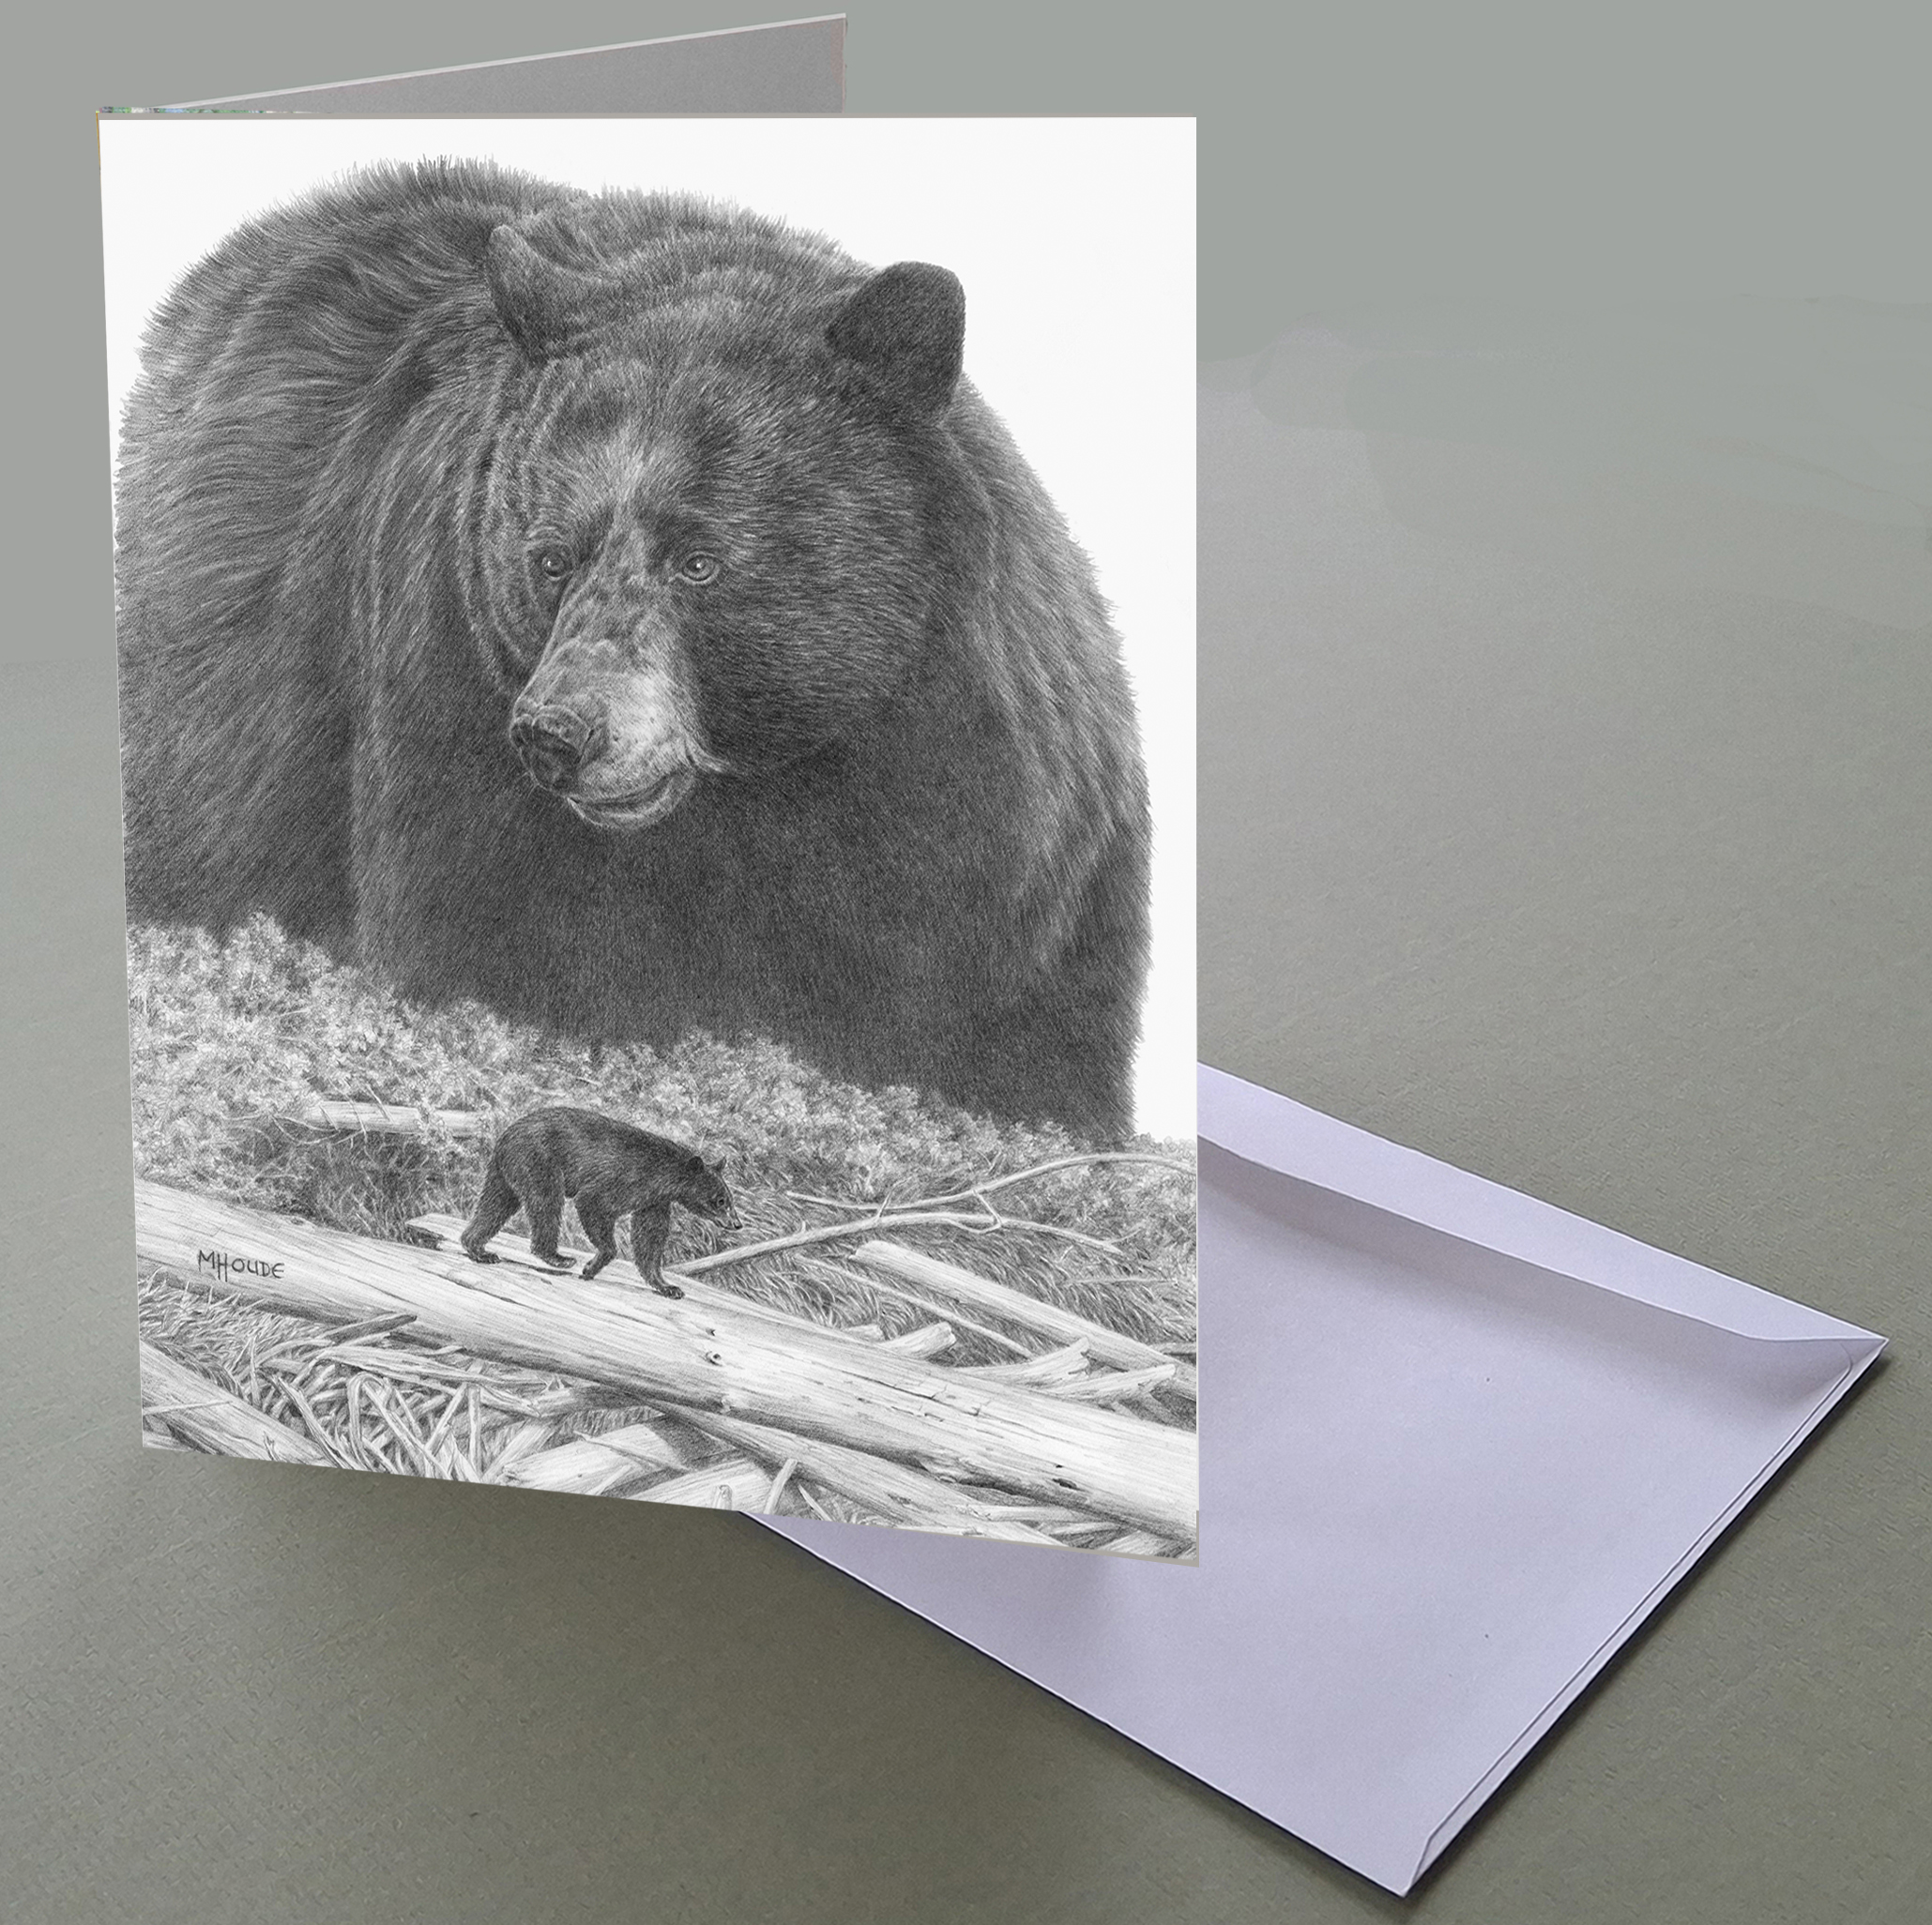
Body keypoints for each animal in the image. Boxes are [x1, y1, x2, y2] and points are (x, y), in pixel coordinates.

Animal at [112, 160, 1151, 1139]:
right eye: (551, 557)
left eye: (699, 560)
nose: (557, 735)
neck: (763, 801)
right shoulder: (450, 701)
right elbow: (491, 944)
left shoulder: (1009, 840)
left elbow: (1008, 1034)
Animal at [460, 1105, 734, 1291]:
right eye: (720, 1200)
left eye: (728, 1198)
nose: (737, 1223)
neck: (663, 1175)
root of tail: (505, 1134)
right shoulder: (623, 1178)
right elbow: (593, 1203)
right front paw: (592, 1264)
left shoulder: (654, 1200)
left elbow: (649, 1236)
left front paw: (666, 1285)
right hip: (538, 1160)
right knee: (546, 1203)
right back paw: (557, 1257)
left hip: (506, 1172)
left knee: (495, 1205)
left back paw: (477, 1248)